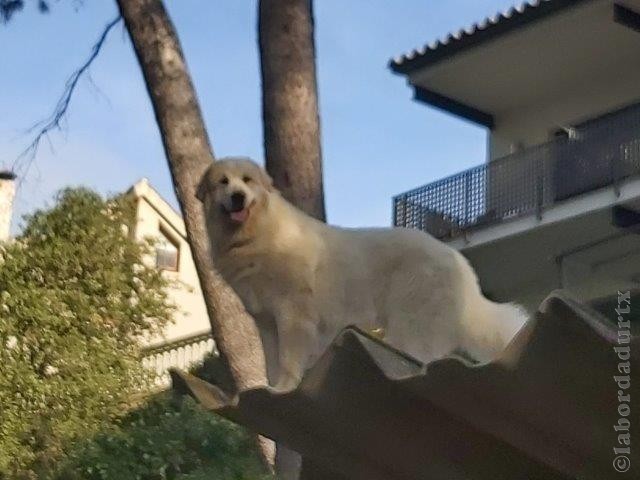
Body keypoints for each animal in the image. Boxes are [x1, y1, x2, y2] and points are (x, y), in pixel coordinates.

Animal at [198, 158, 528, 390]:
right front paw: (269, 387)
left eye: (247, 180)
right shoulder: (265, 320)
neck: (256, 234)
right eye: (223, 182)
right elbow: (271, 359)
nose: (237, 196)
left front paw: (283, 388)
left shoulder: (293, 315)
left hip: (410, 324)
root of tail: (458, 261)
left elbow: (289, 359)